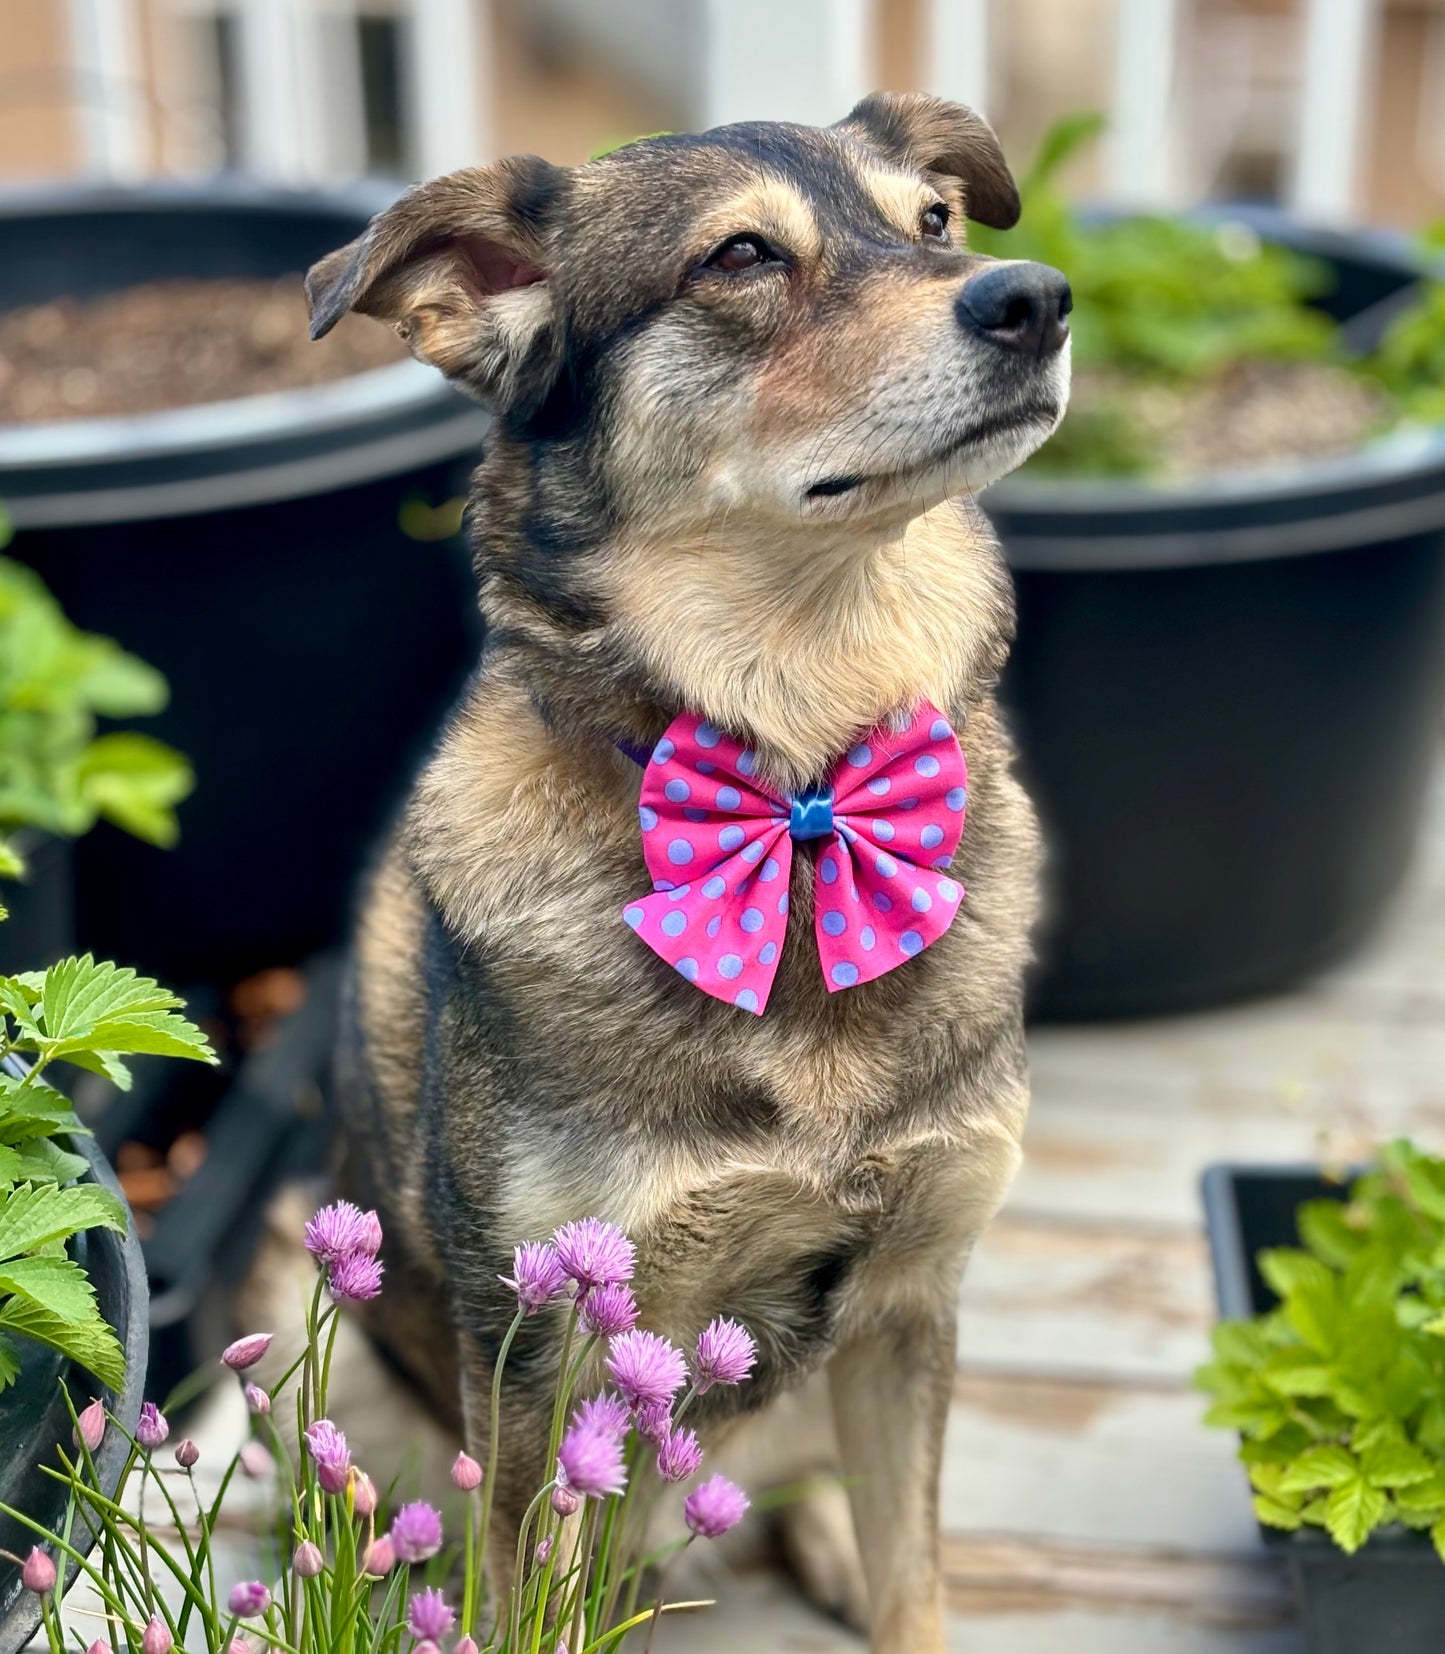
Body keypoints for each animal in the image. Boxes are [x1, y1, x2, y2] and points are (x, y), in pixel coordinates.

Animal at [307, 93, 1071, 1654]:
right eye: (739, 257)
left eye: (933, 224)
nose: (1035, 300)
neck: (801, 794)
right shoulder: (543, 1356)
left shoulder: (911, 1304)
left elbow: (914, 1584)